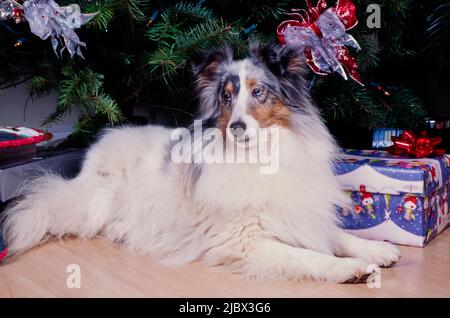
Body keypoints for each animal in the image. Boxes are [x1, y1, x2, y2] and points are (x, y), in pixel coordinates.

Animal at [0, 42, 400, 284]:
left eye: (259, 92)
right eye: (226, 97)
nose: (237, 128)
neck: (262, 157)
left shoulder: (299, 211)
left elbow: (336, 235)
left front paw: (376, 249)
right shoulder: (244, 241)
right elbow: (305, 255)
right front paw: (349, 268)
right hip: (96, 201)